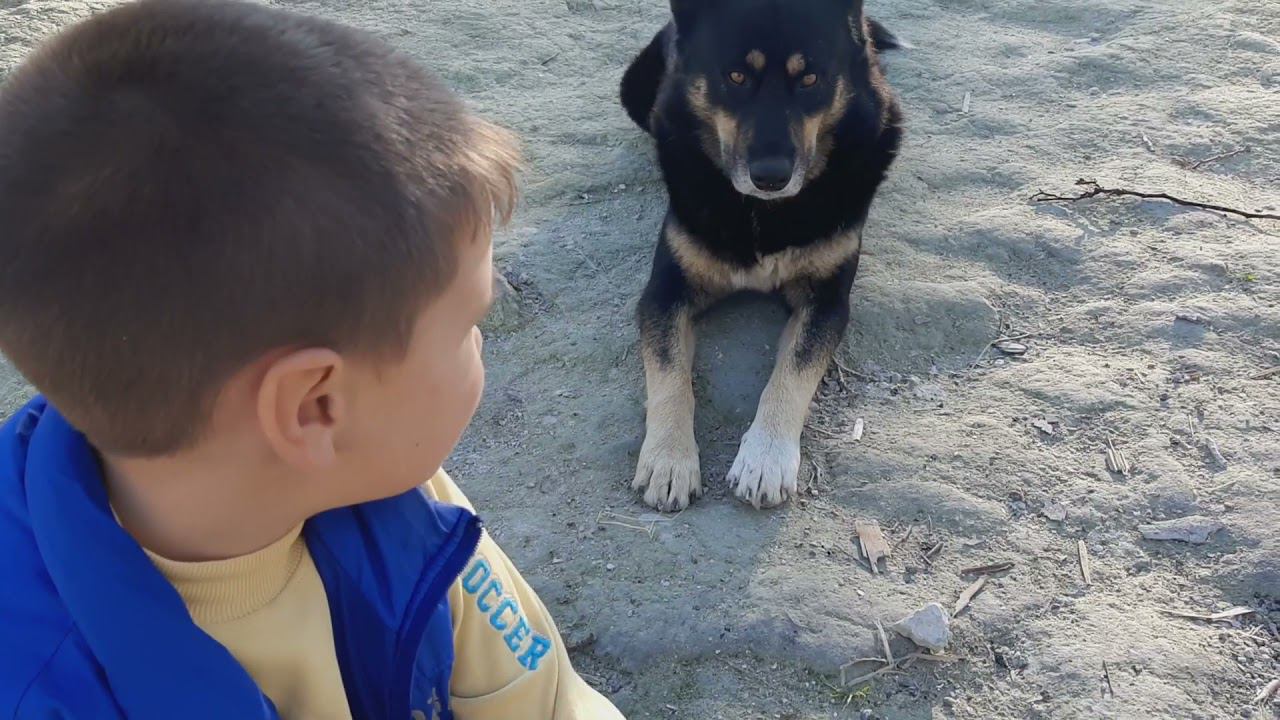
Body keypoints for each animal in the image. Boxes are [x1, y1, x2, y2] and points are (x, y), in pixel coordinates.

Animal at [616, 0, 901, 509]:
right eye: (736, 76)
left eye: (810, 79)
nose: (770, 176)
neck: (762, 213)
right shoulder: (664, 292)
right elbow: (668, 374)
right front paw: (669, 458)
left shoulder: (827, 301)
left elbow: (794, 371)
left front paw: (766, 457)